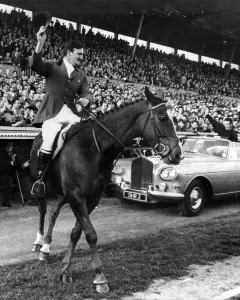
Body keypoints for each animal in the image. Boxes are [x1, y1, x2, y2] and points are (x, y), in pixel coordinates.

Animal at [30, 86, 182, 292]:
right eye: (162, 117)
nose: (178, 154)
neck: (94, 148)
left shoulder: (90, 198)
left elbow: (76, 232)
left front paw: (66, 269)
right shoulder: (77, 197)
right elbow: (90, 234)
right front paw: (100, 277)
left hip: (63, 192)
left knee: (53, 212)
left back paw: (46, 248)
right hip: (43, 188)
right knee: (42, 210)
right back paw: (39, 243)